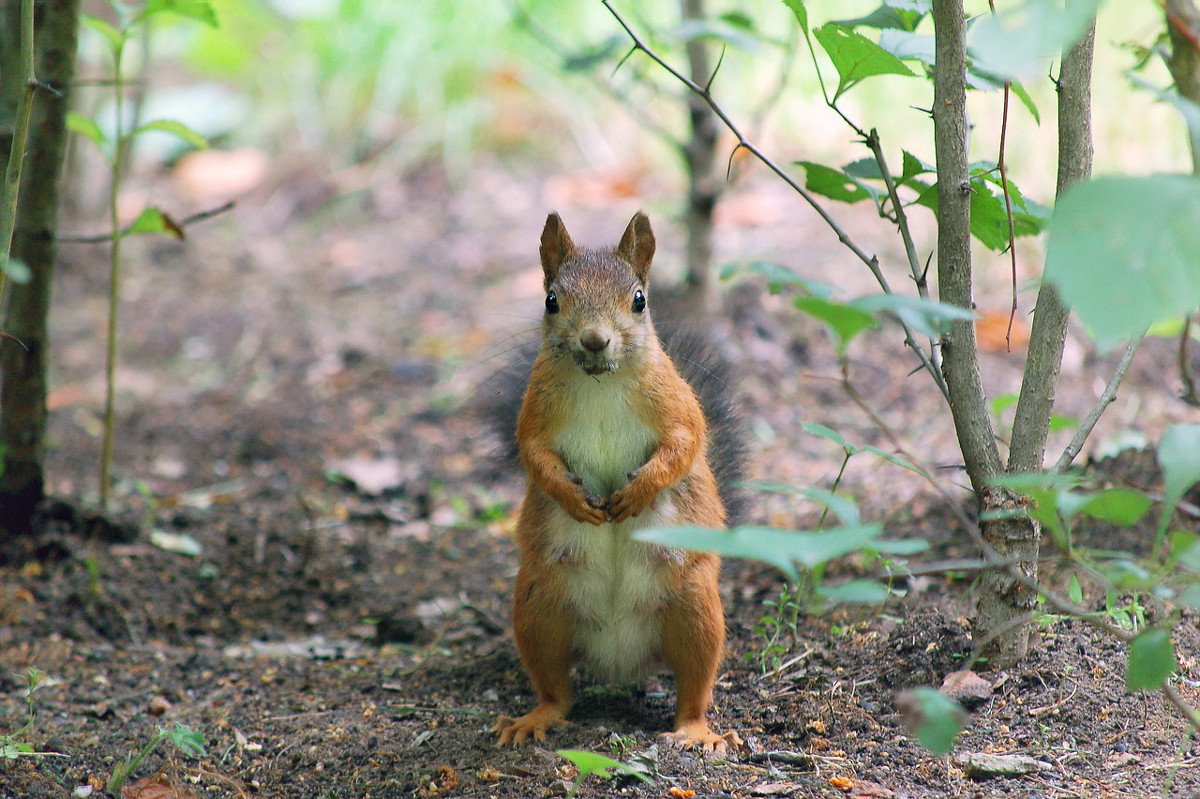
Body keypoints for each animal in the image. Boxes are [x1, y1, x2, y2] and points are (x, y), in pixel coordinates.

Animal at [492, 208, 744, 748]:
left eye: (639, 300)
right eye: (551, 300)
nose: (594, 338)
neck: (600, 382)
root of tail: (619, 659)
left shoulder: (675, 402)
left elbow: (685, 443)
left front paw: (638, 492)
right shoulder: (534, 414)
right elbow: (533, 456)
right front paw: (572, 497)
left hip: (695, 608)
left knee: (695, 684)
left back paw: (696, 731)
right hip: (538, 608)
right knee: (555, 687)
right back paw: (534, 718)